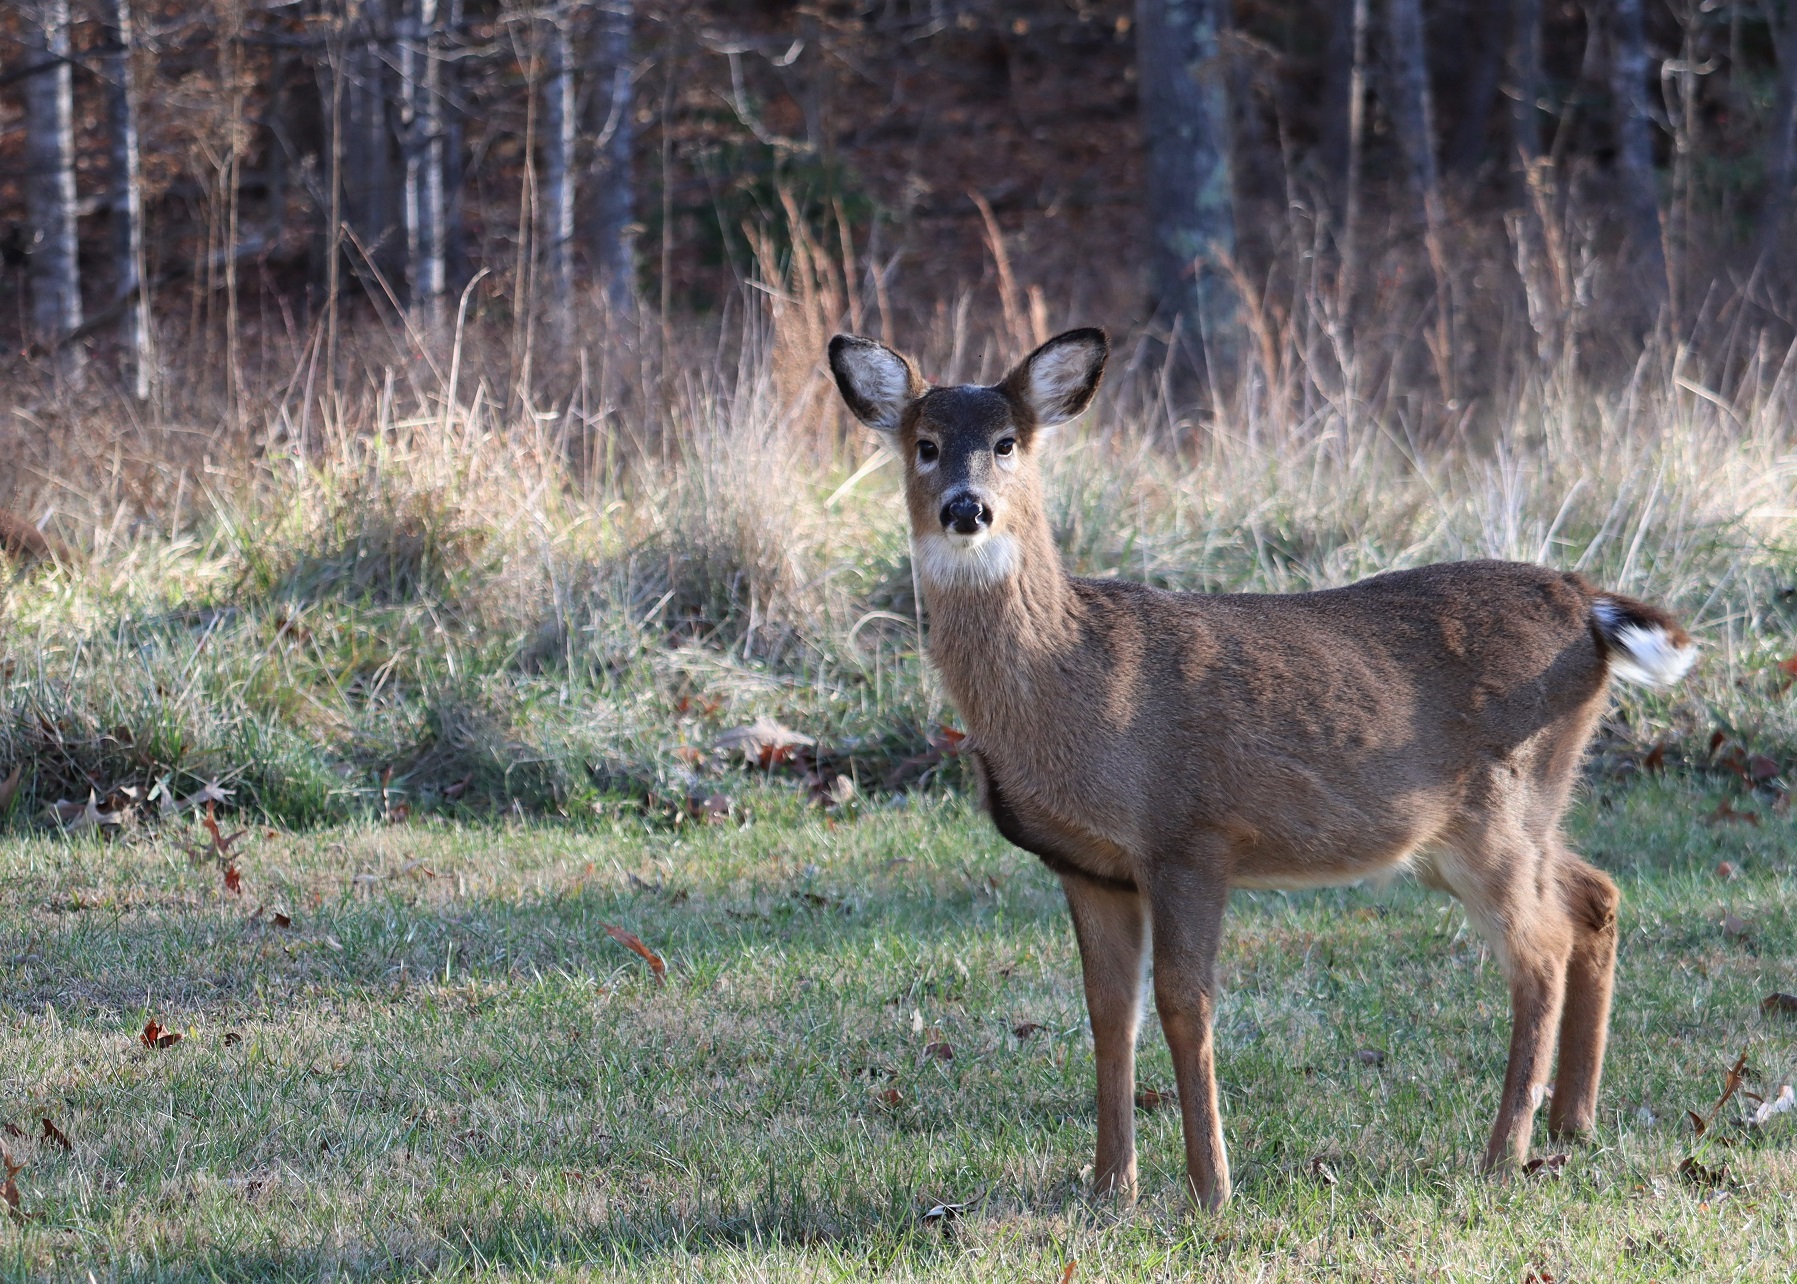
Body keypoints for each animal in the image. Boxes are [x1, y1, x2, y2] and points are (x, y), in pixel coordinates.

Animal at [826, 326, 1696, 1213]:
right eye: (925, 445)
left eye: (1007, 442)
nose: (966, 507)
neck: (1075, 687)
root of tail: (1585, 602)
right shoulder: (1090, 868)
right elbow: (1109, 1012)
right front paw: (1109, 1185)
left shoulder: (1189, 834)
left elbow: (1185, 1004)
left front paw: (1210, 1188)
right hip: (1502, 821)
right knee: (1594, 893)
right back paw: (1570, 1122)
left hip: (1497, 813)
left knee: (1540, 950)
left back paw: (1502, 1152)